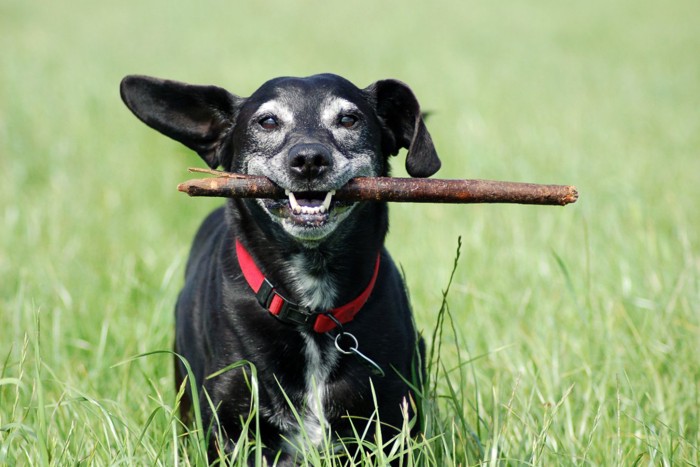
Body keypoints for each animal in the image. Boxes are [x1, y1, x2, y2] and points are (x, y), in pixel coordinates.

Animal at [118, 74, 440, 464]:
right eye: (268, 121)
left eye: (349, 119)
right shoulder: (230, 430)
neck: (312, 310)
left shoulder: (393, 425)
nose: (309, 159)